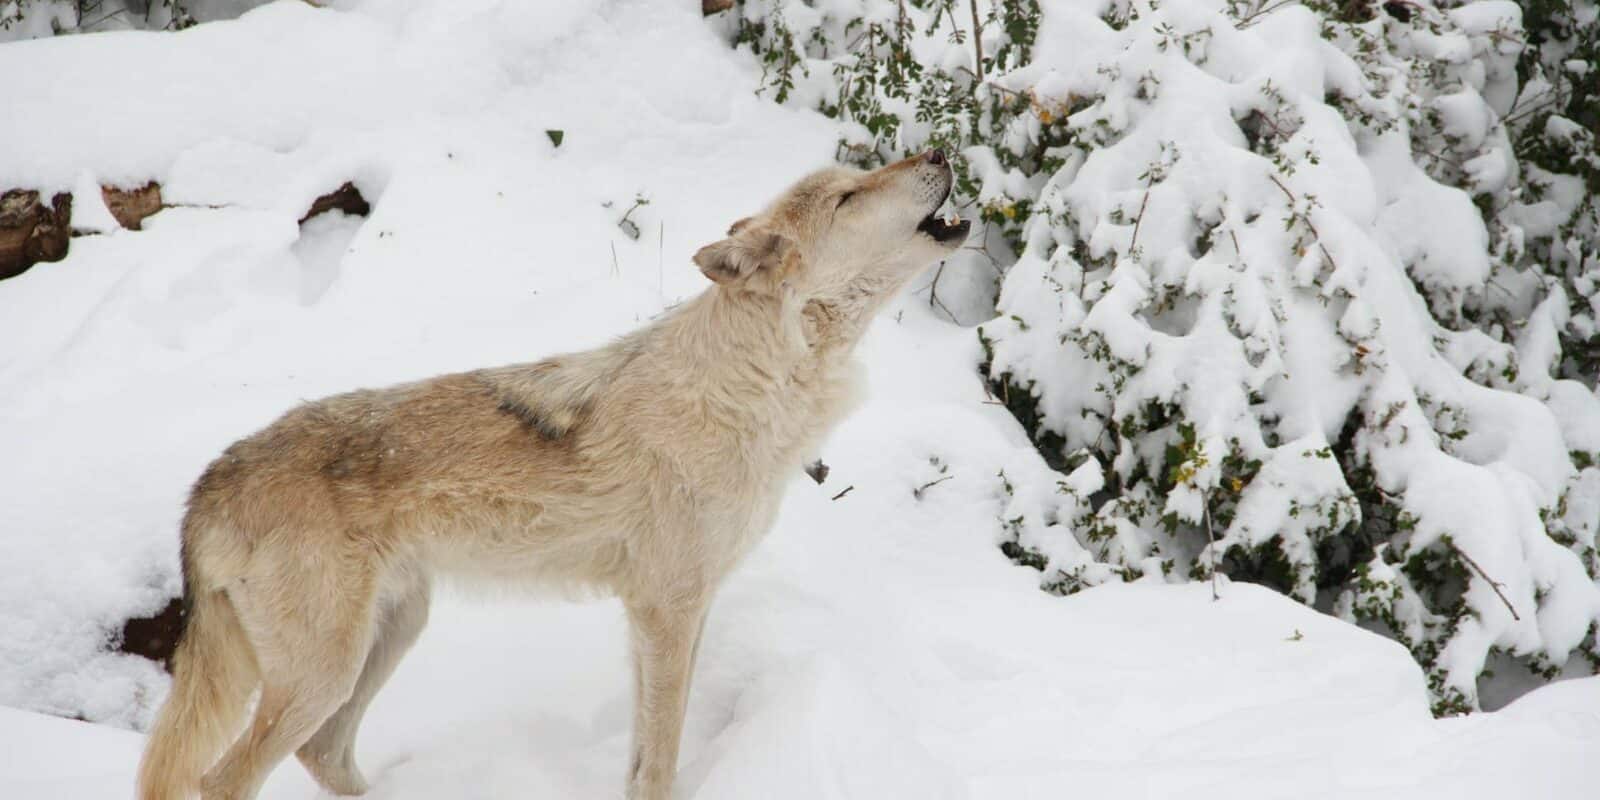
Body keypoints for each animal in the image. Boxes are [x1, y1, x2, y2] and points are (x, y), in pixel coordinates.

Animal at [137, 148, 966, 793]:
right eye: (848, 196)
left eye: (860, 177)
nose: (938, 153)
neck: (746, 389)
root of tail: (208, 482)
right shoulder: (667, 611)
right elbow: (659, 762)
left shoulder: (675, 612)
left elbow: (642, 755)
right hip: (327, 670)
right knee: (222, 778)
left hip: (392, 634)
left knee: (324, 753)